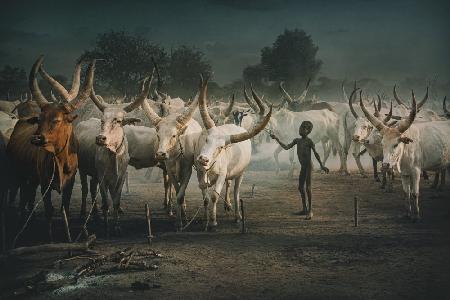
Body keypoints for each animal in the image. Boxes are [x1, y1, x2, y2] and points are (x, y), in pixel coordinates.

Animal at [6, 55, 95, 241]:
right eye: (39, 119)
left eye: (57, 120)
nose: (36, 138)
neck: (60, 160)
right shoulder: (45, 183)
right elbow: (48, 211)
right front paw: (50, 238)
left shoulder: (70, 183)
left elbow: (64, 209)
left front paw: (68, 237)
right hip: (19, 175)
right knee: (21, 200)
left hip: (30, 179)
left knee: (28, 198)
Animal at [194, 77, 270, 230]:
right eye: (206, 139)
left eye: (221, 147)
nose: (203, 159)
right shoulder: (200, 173)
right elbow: (205, 198)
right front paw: (205, 218)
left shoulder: (222, 175)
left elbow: (214, 196)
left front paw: (213, 221)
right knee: (229, 185)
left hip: (241, 173)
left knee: (235, 191)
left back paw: (237, 215)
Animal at [358, 90, 450, 221]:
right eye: (382, 143)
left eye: (396, 144)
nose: (385, 165)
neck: (406, 151)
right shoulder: (404, 174)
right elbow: (406, 193)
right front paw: (407, 214)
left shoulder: (416, 171)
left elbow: (415, 193)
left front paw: (416, 216)